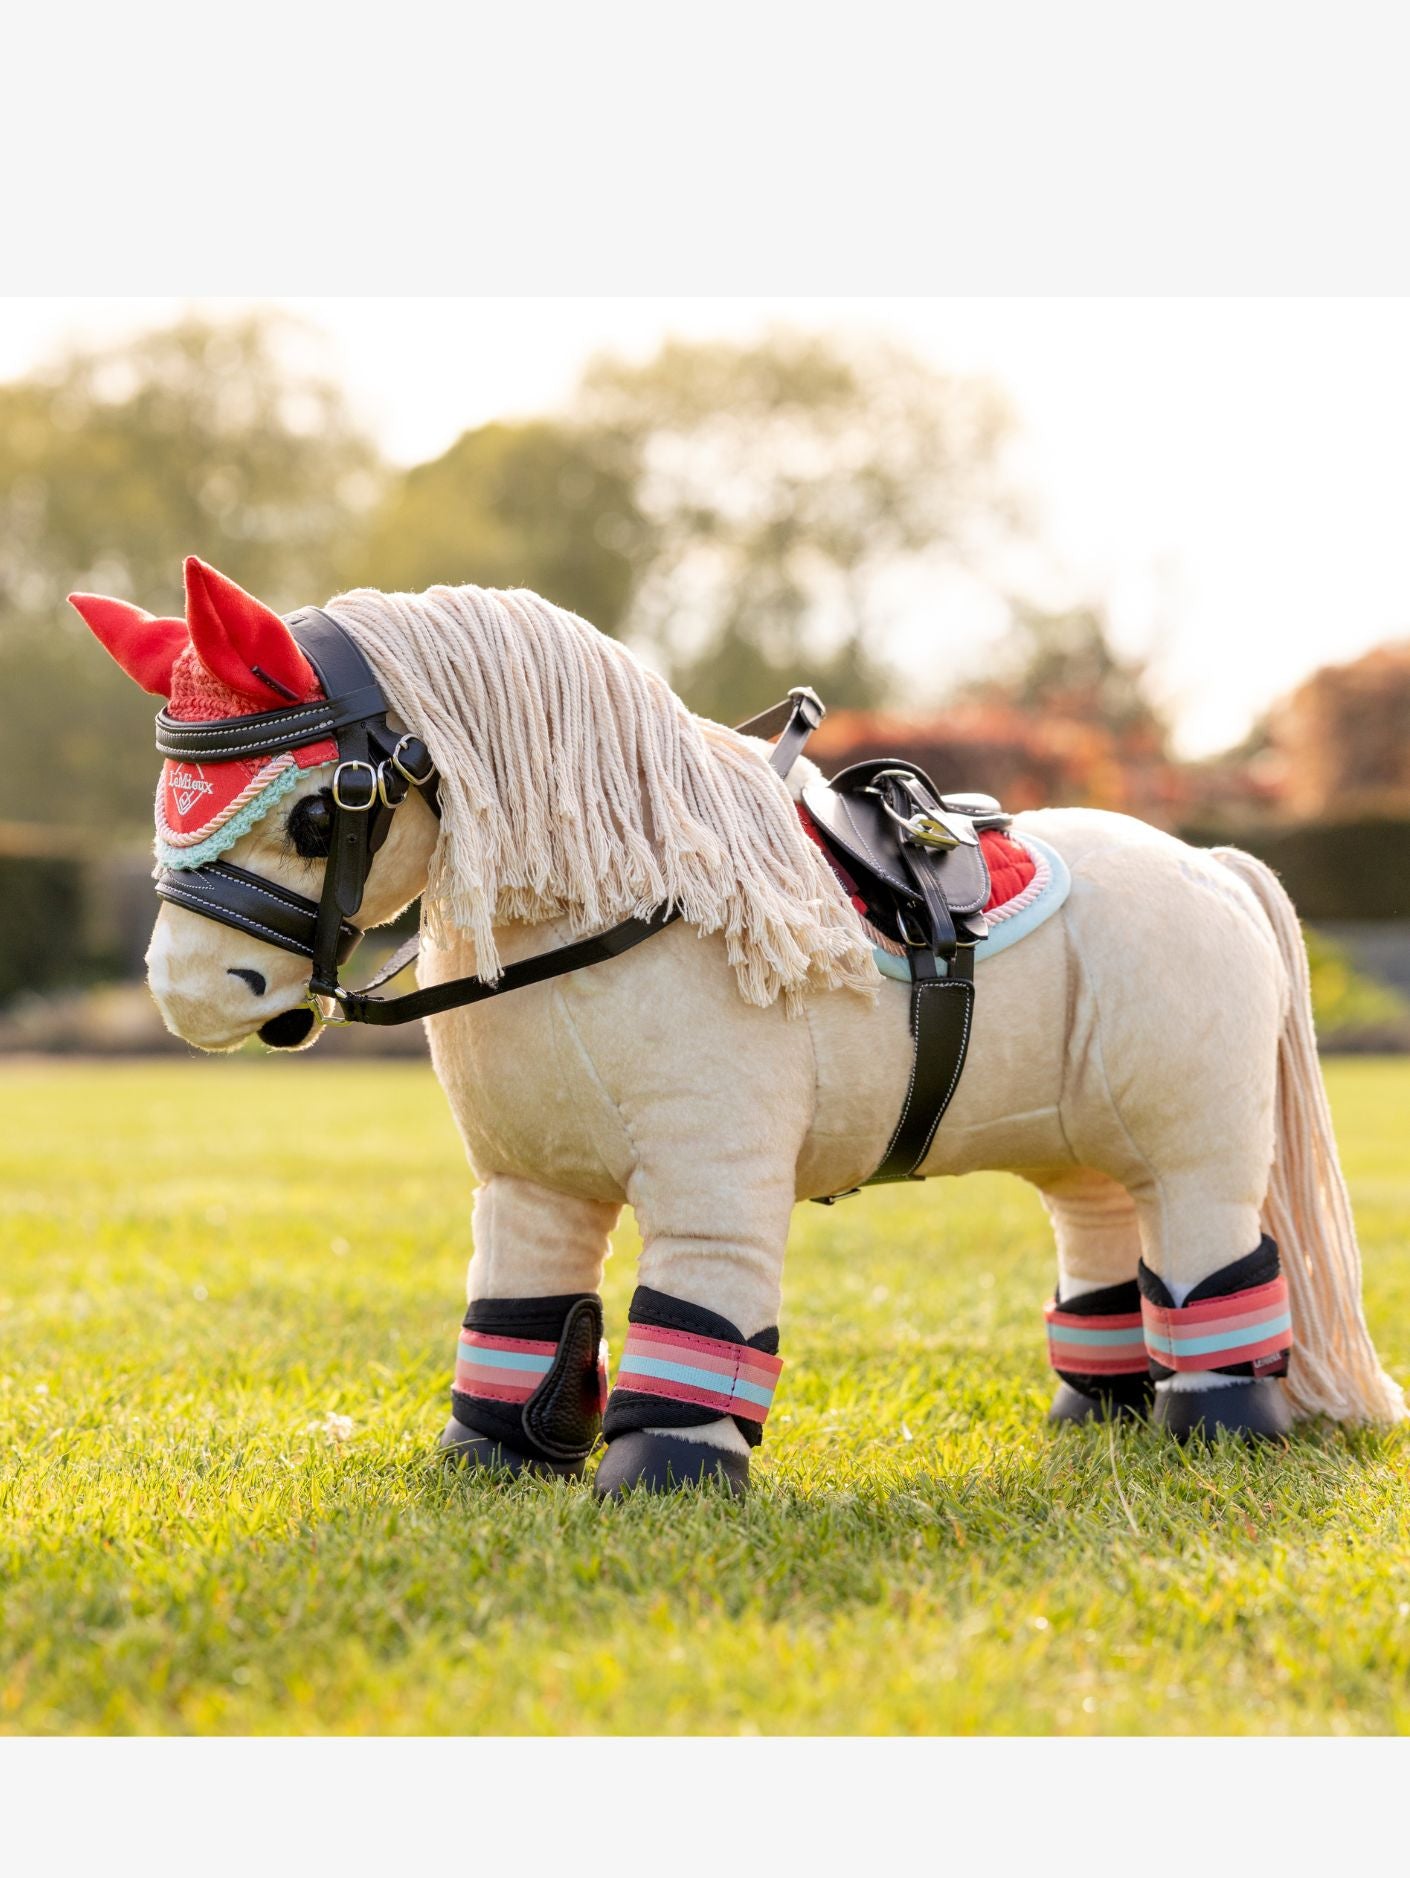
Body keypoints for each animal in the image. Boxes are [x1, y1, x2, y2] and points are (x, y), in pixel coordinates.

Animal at [68, 557, 1404, 1495]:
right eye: (169, 791)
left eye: (319, 808)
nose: (188, 990)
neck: (611, 908)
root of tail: (1213, 865)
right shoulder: (527, 1184)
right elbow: (519, 1320)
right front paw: (489, 1462)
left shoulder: (714, 1174)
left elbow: (696, 1319)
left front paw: (660, 1480)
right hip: (1077, 1139)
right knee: (1099, 1233)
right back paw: (1097, 1414)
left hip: (1196, 1140)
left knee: (1210, 1254)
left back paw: (1218, 1426)